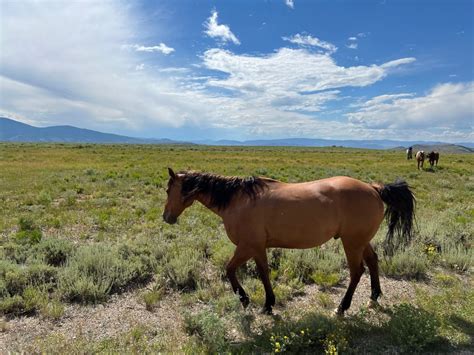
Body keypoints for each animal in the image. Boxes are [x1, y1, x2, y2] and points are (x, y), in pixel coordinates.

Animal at [163, 170, 414, 318]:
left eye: (168, 189)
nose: (166, 217)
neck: (237, 200)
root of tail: (373, 188)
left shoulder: (247, 246)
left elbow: (231, 269)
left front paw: (246, 299)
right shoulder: (257, 248)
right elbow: (263, 272)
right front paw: (267, 304)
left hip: (352, 243)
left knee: (356, 271)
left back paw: (342, 307)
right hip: (361, 241)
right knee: (373, 261)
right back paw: (374, 297)